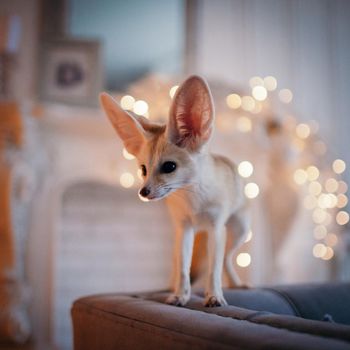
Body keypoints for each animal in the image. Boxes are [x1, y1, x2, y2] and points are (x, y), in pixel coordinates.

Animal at [100, 74, 250, 306]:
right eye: (143, 169)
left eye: (169, 167)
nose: (143, 192)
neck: (193, 200)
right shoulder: (183, 228)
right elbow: (182, 269)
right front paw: (180, 295)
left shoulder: (216, 228)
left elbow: (213, 270)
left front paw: (214, 296)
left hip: (238, 231)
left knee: (225, 258)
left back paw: (234, 284)